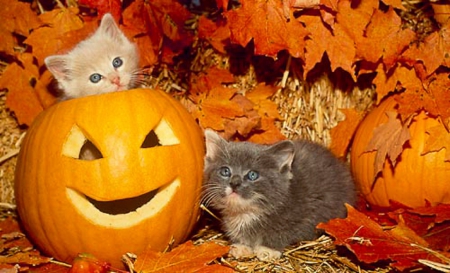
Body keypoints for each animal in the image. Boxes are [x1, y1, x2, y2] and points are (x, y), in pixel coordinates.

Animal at [203, 129, 356, 260]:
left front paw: (268, 249)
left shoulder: (308, 216)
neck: (248, 212)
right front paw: (242, 246)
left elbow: (282, 232)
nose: (234, 183)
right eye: (225, 171)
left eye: (252, 175)